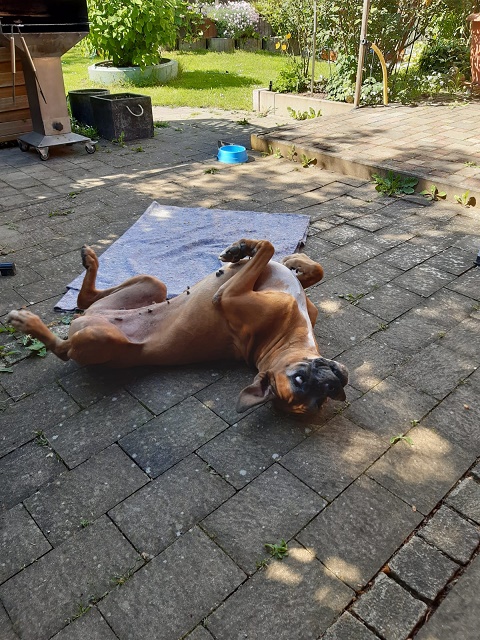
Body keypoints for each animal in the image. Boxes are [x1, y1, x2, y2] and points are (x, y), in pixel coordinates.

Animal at [6, 238, 348, 414]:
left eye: (320, 400)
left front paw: (254, 249)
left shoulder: (228, 295)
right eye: (300, 379)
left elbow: (269, 249)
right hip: (149, 285)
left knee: (64, 348)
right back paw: (89, 261)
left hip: (101, 337)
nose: (334, 386)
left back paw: (27, 322)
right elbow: (303, 265)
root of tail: (86, 319)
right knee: (85, 297)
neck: (283, 337)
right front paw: (270, 255)